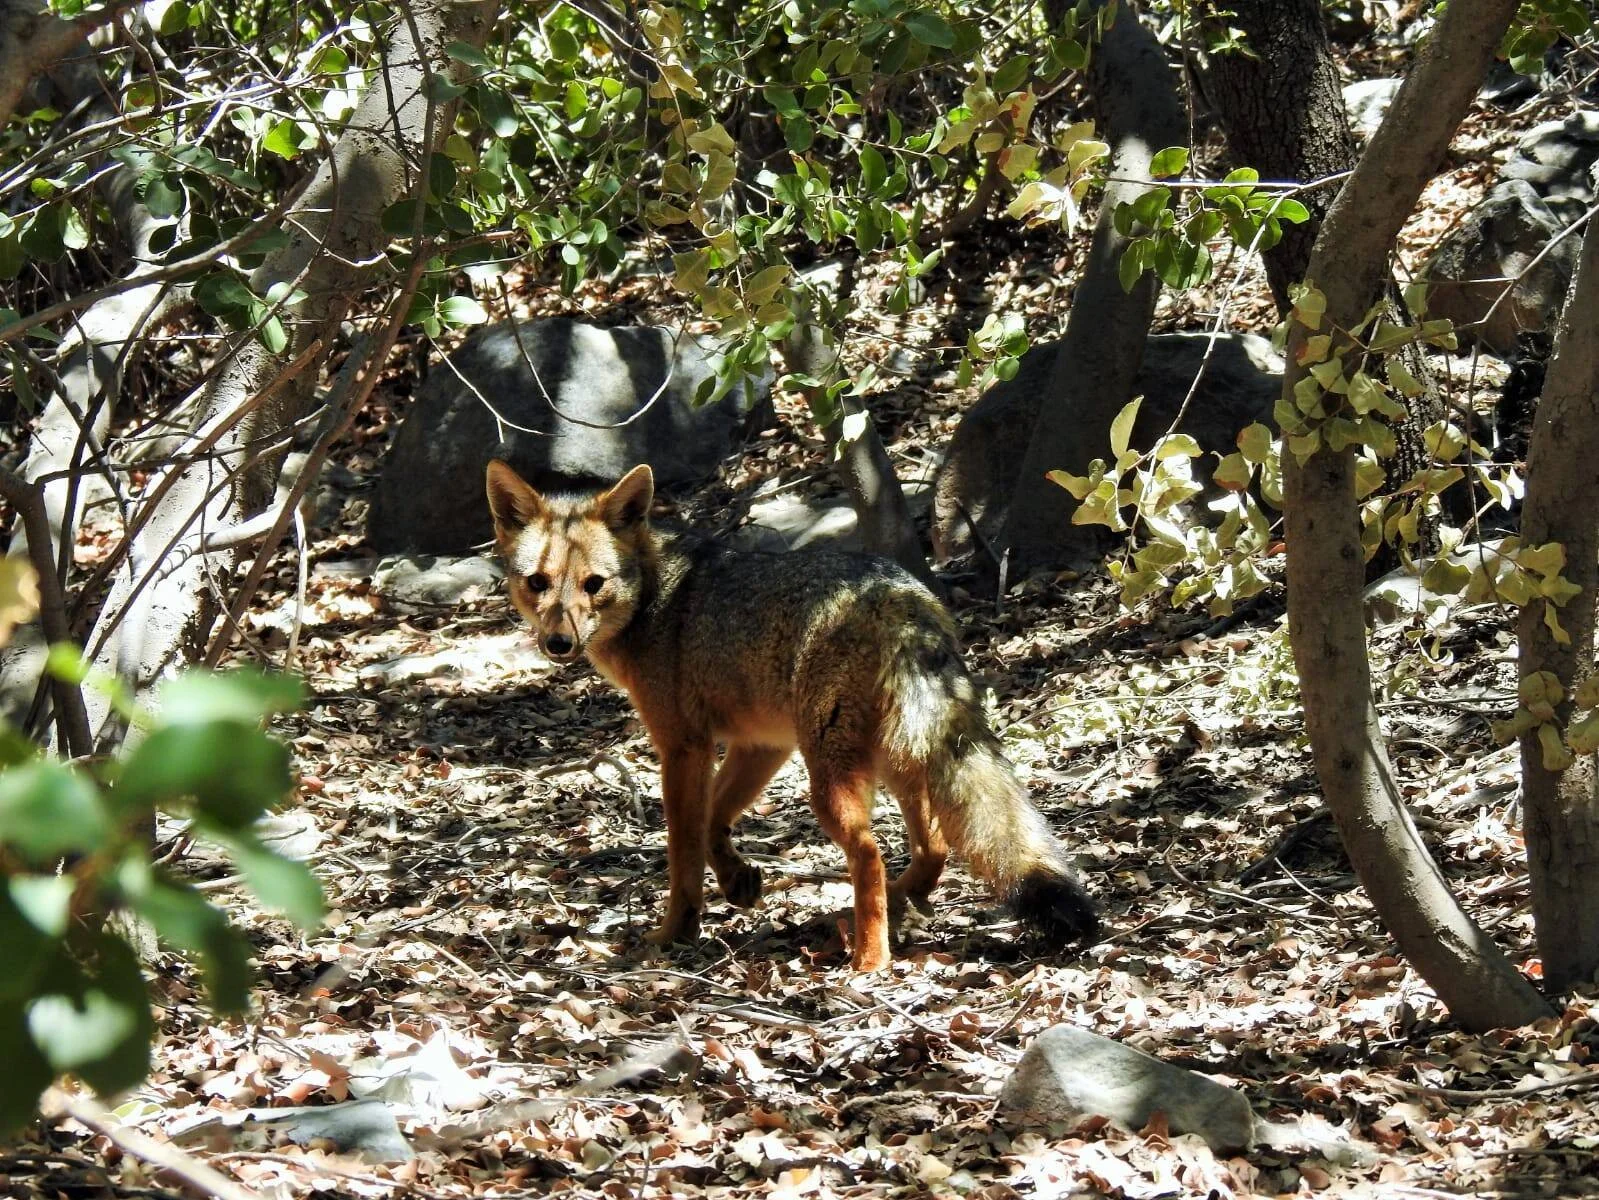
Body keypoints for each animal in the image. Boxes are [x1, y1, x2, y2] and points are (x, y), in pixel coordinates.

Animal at [485, 458, 1100, 971]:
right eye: (537, 583)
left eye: (594, 585)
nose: (559, 643)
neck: (657, 598)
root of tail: (900, 598)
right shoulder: (761, 743)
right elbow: (713, 820)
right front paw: (737, 881)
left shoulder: (683, 747)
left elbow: (684, 847)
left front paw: (676, 930)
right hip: (897, 760)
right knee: (935, 848)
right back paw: (898, 906)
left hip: (830, 777)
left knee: (872, 854)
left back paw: (870, 959)